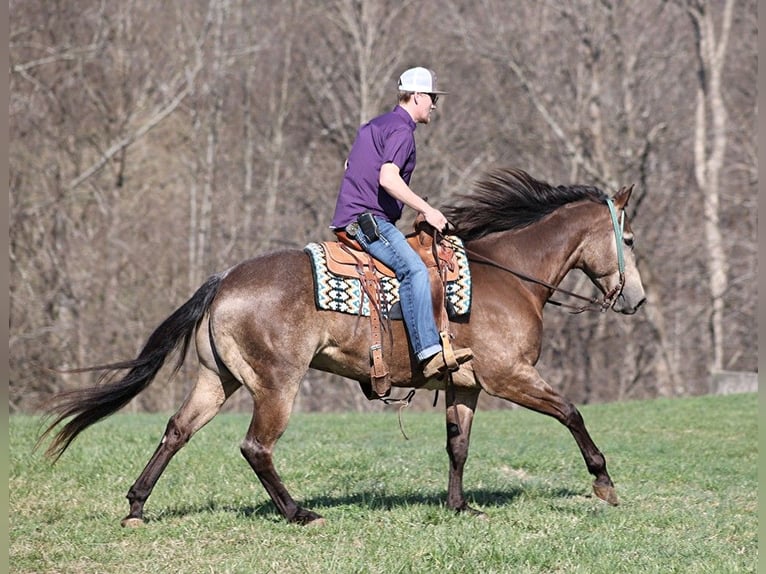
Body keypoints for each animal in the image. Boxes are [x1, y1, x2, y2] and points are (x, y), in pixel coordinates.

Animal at [37, 166, 648, 528]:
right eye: (630, 238)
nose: (637, 299)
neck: (507, 277)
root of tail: (225, 279)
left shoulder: (467, 385)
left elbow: (458, 446)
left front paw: (457, 506)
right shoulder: (510, 377)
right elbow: (571, 413)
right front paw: (604, 483)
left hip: (218, 380)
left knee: (177, 431)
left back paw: (137, 506)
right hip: (277, 385)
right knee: (256, 447)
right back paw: (298, 512)